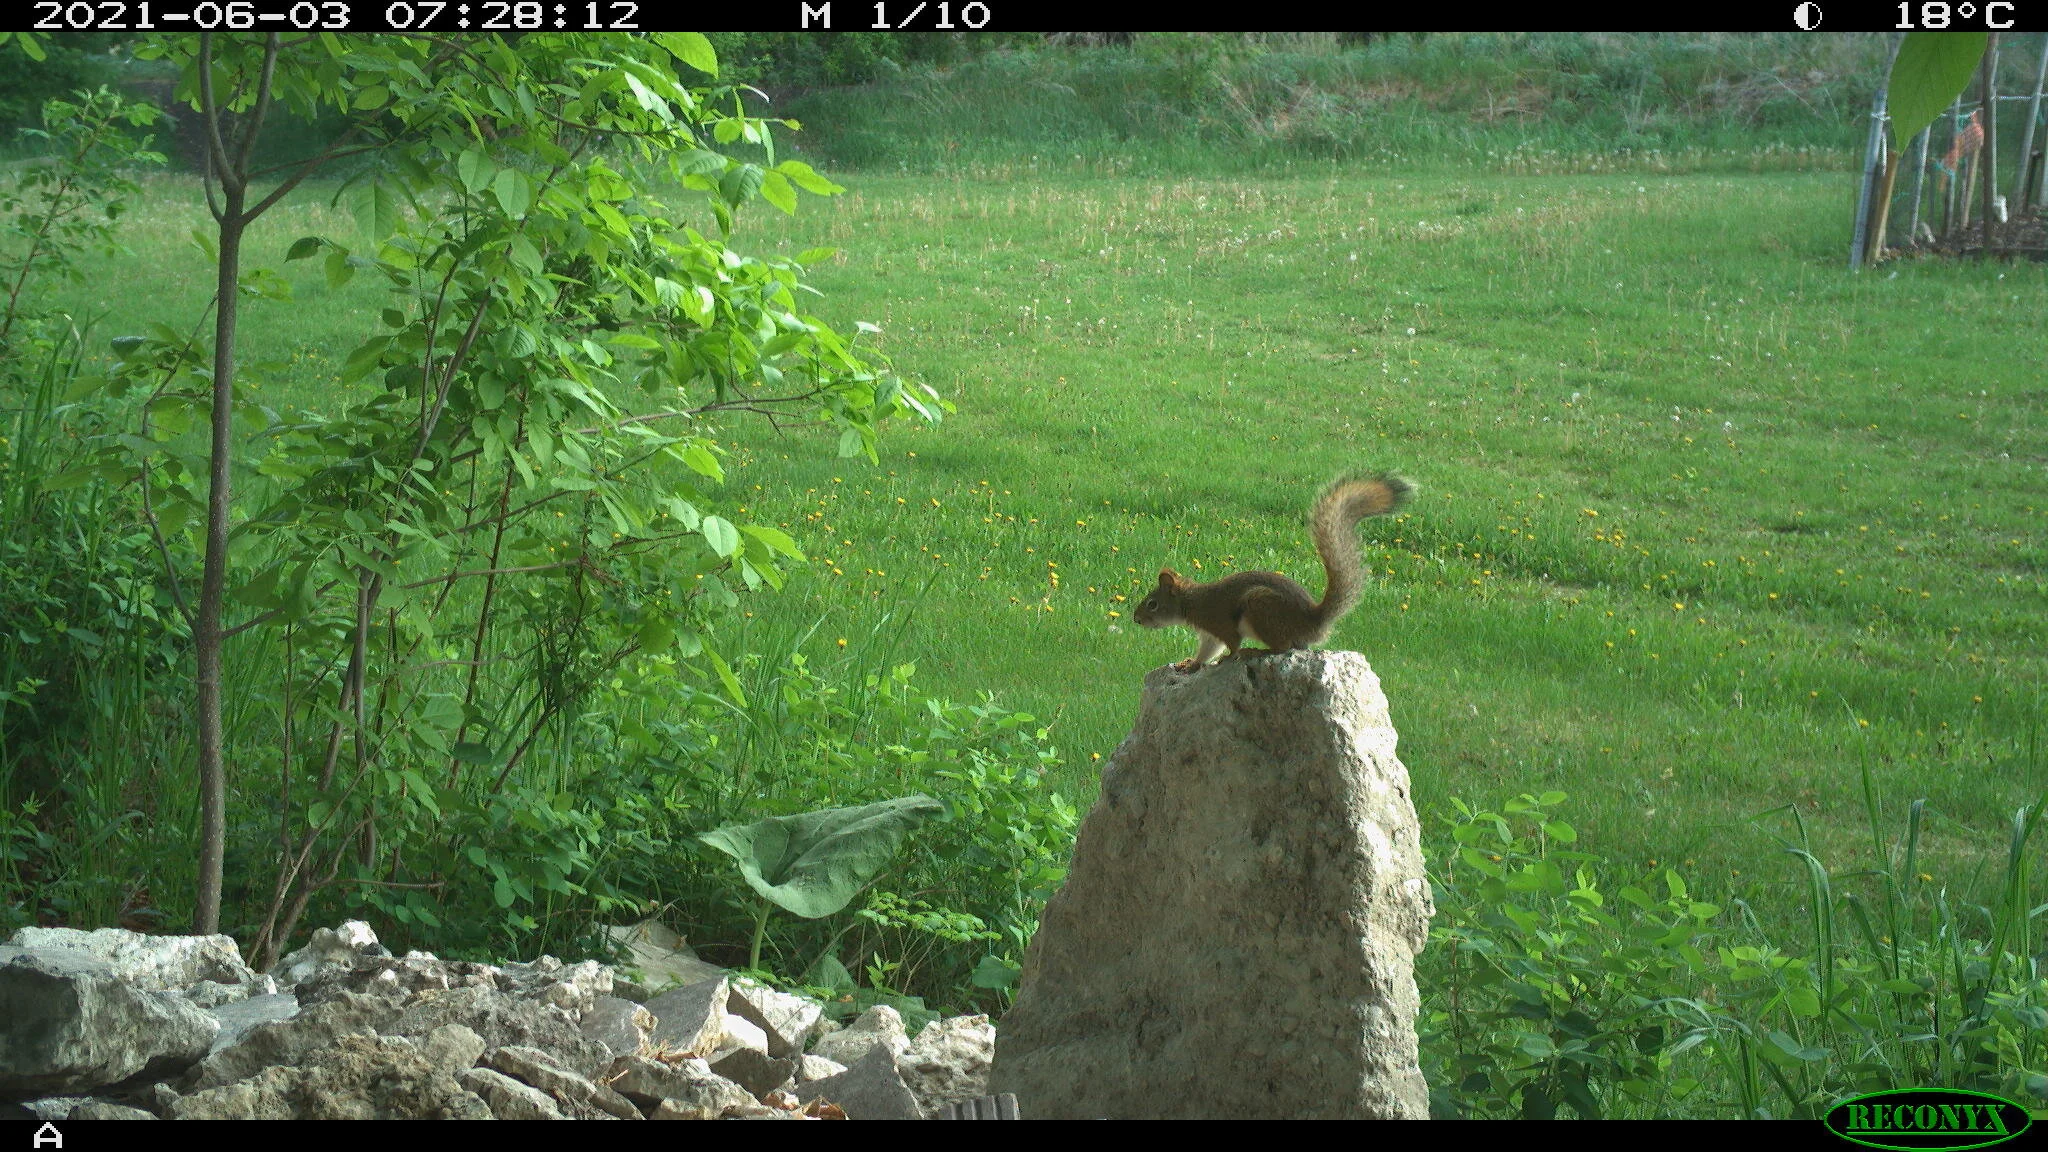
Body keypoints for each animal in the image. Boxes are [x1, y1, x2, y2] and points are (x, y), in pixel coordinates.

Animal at [1134, 474, 1413, 672]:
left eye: (1152, 604)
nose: (1136, 619)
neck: (1190, 601)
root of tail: (1312, 623)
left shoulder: (1219, 621)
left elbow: (1231, 645)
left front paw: (1229, 658)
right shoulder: (1209, 635)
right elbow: (1207, 651)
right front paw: (1190, 664)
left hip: (1261, 608)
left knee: (1281, 648)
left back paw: (1256, 652)